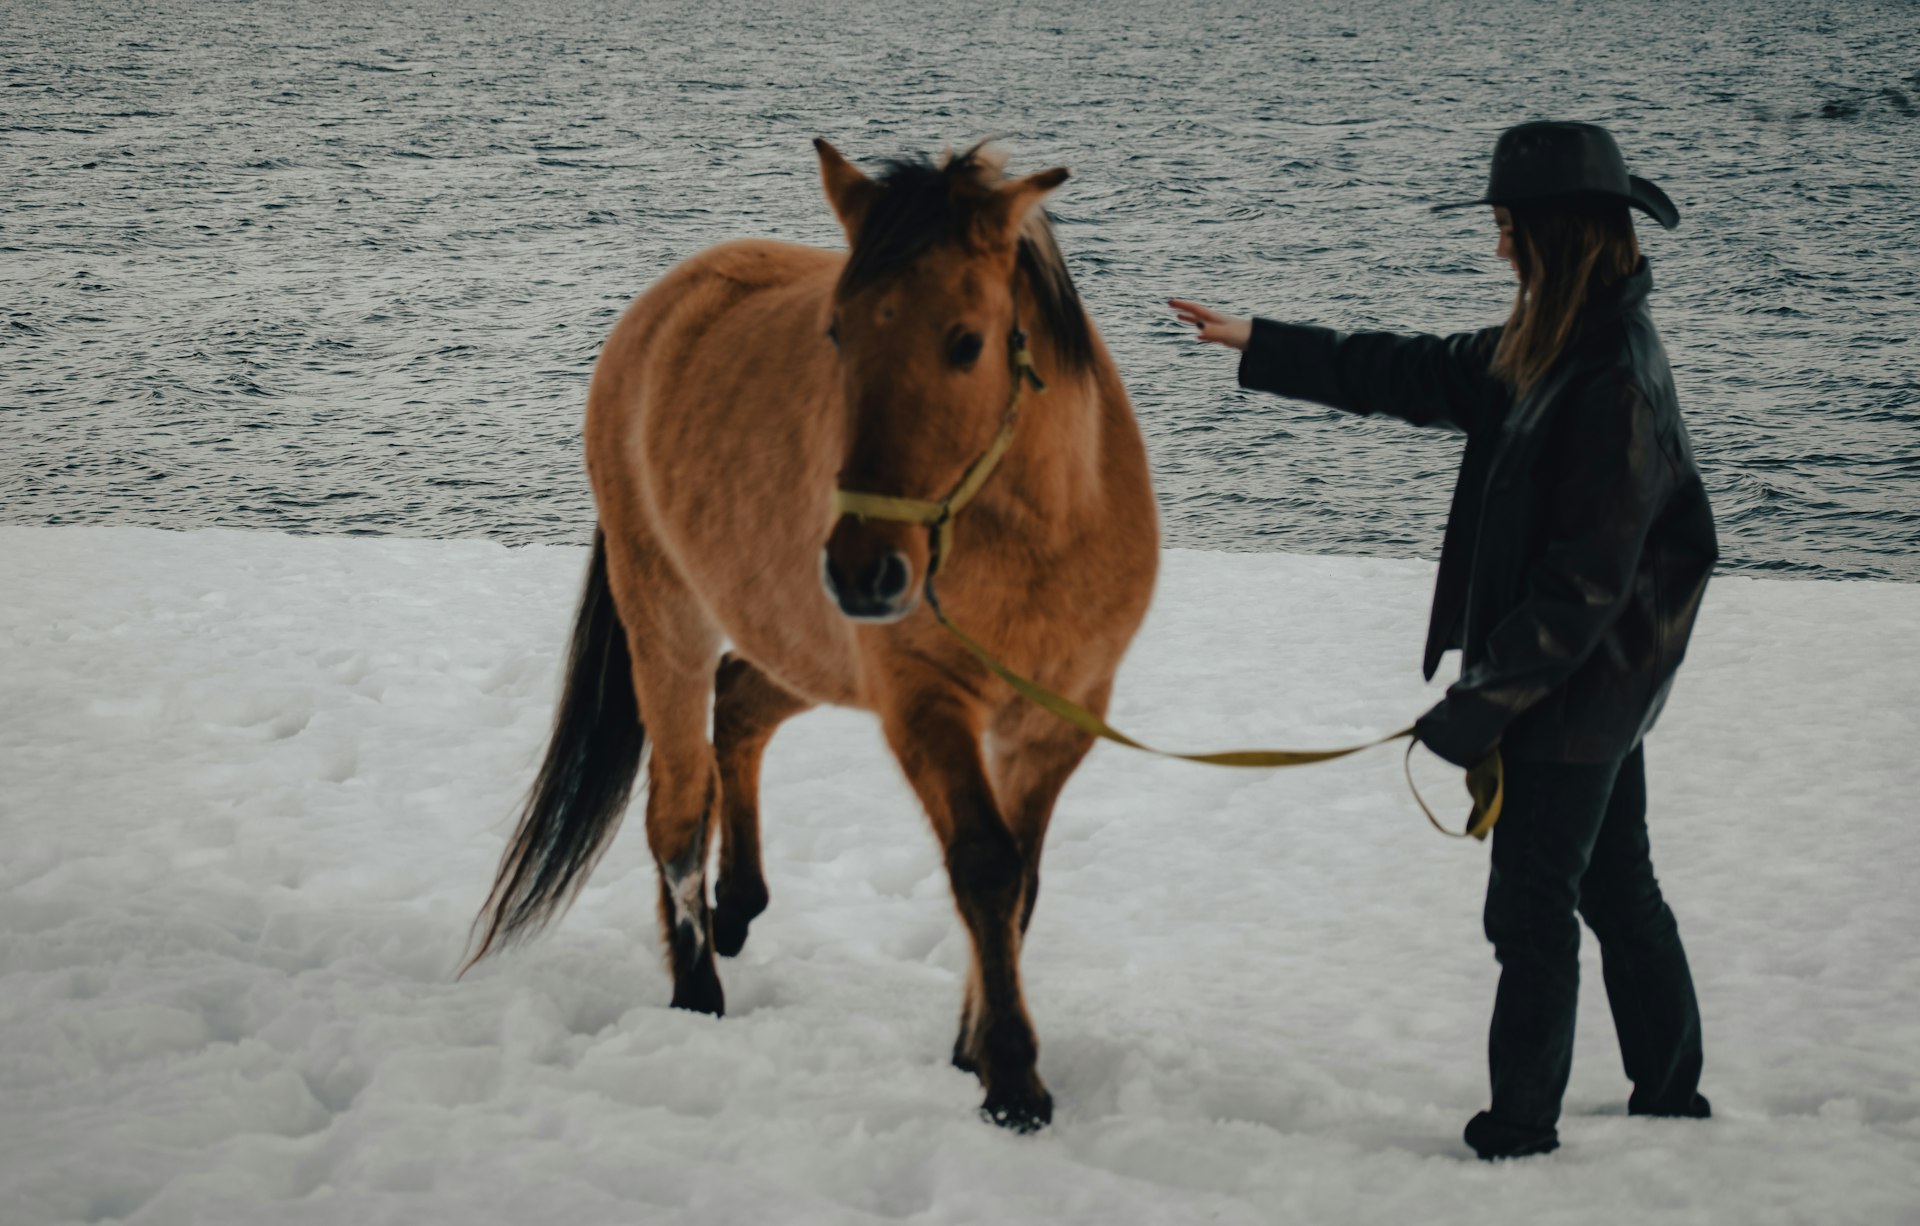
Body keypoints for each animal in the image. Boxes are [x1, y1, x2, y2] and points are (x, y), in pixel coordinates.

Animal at [465, 140, 1159, 1131]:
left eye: (967, 342)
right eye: (836, 334)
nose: (864, 568)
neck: (1036, 532)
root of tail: (658, 309)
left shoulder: (1055, 720)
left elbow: (1021, 882)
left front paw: (974, 1044)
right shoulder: (923, 704)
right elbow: (985, 866)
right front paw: (1012, 1079)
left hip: (799, 647)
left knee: (740, 708)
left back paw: (739, 904)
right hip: (667, 624)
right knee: (677, 811)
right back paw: (697, 991)